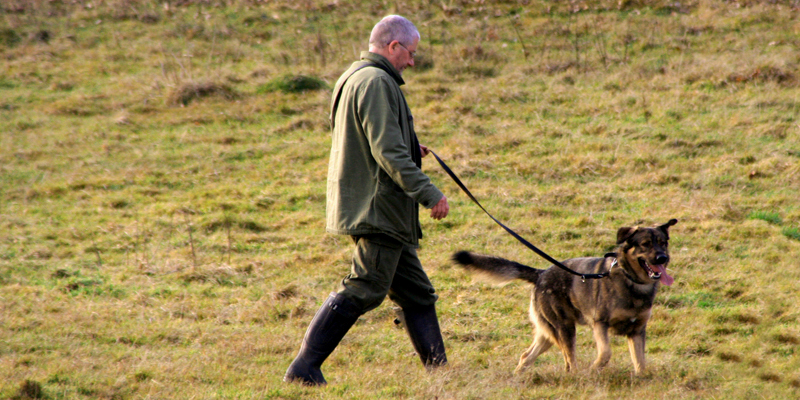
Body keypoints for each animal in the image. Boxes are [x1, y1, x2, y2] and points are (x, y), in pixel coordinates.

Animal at [454, 219, 680, 376]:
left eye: (663, 243)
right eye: (645, 244)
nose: (662, 258)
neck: (631, 280)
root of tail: (541, 274)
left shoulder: (637, 331)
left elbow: (640, 362)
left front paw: (641, 378)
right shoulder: (600, 324)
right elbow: (605, 353)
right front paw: (594, 370)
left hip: (549, 333)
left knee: (527, 356)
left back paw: (517, 377)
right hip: (564, 329)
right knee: (570, 362)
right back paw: (578, 377)